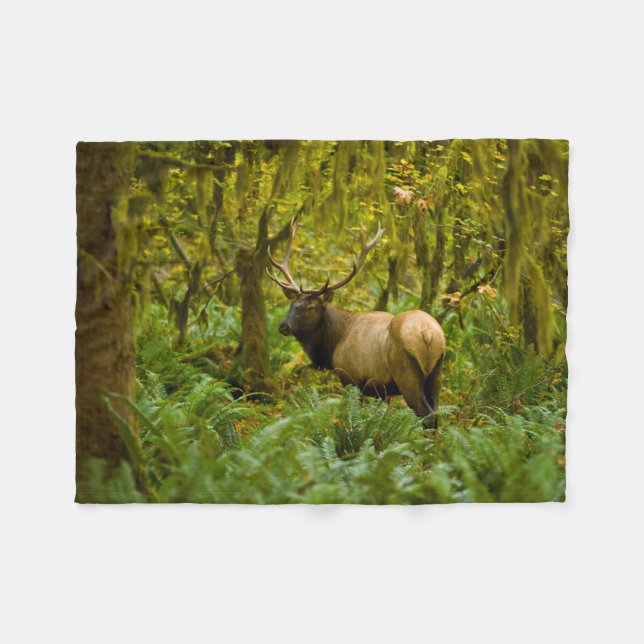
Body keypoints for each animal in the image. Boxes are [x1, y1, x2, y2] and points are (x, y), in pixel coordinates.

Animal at [267, 218, 446, 427]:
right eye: (292, 304)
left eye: (311, 307)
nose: (283, 326)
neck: (333, 343)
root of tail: (428, 333)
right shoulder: (380, 390)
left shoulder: (351, 378)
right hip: (436, 372)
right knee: (436, 414)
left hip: (408, 374)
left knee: (426, 415)